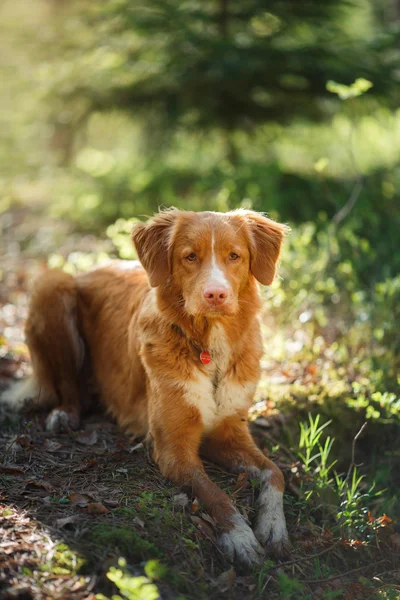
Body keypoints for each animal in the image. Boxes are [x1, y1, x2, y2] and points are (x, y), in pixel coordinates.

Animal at [7, 210, 290, 568]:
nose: (216, 295)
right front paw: (239, 536)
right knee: (67, 385)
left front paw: (273, 527)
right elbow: (215, 493)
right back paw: (64, 415)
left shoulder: (230, 434)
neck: (208, 345)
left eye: (234, 256)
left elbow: (275, 472)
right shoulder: (173, 448)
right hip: (52, 286)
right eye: (190, 256)